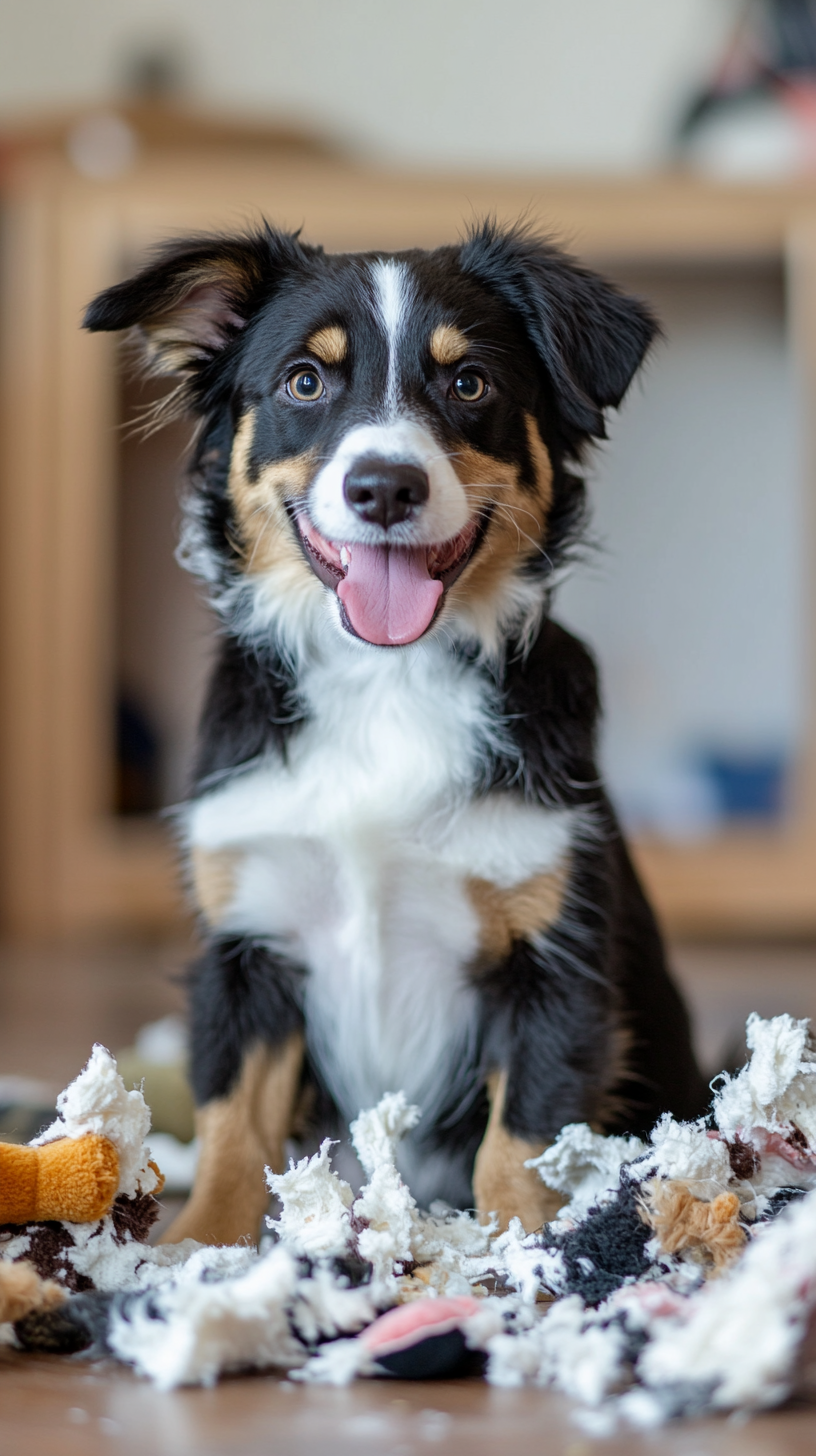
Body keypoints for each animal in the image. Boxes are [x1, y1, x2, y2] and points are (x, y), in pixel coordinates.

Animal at [84, 221, 708, 1246]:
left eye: (470, 383)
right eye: (304, 381)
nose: (384, 486)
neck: (385, 680)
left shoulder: (556, 959)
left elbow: (519, 1142)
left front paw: (522, 1257)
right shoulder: (249, 943)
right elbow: (232, 1128)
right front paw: (193, 1251)